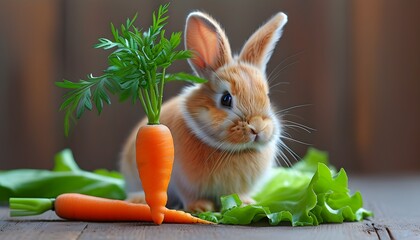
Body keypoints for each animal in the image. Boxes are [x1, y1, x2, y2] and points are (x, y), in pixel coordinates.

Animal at [120, 10, 288, 212]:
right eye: (226, 99)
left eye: (267, 96)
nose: (257, 128)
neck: (233, 151)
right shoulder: (181, 181)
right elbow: (189, 196)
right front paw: (201, 208)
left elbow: (237, 195)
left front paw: (246, 204)